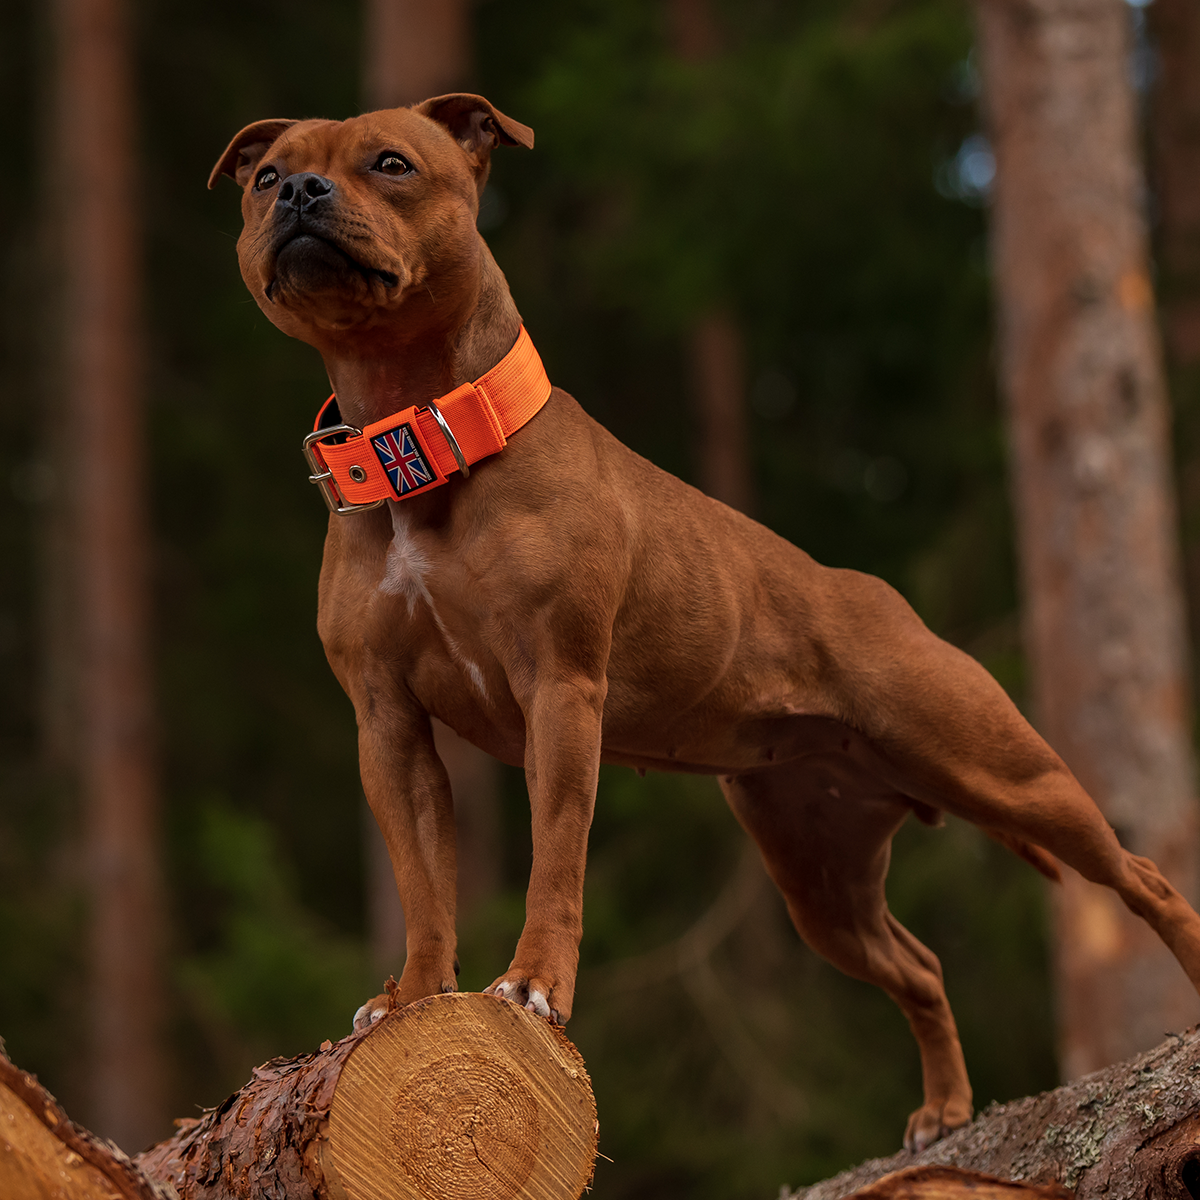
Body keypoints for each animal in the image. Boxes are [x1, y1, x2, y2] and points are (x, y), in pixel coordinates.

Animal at [211, 96, 1200, 1152]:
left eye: (392, 163)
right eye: (266, 176)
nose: (302, 192)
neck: (421, 438)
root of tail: (886, 600)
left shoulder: (560, 690)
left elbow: (556, 857)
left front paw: (532, 986)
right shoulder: (388, 725)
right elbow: (423, 882)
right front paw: (414, 999)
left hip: (1007, 773)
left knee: (1142, 876)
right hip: (820, 877)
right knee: (919, 965)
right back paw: (944, 1110)